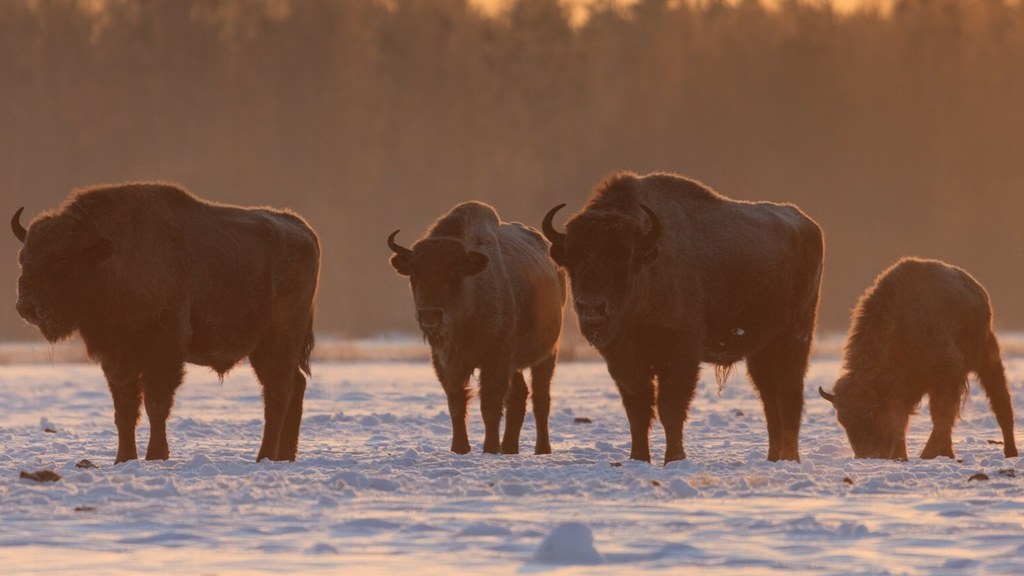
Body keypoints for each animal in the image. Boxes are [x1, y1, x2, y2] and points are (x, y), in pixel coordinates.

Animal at [9, 183, 317, 461]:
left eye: (62, 260)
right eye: (24, 258)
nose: (26, 306)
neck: (111, 260)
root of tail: (303, 230)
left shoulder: (163, 353)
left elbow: (156, 405)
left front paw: (156, 455)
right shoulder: (116, 357)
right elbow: (125, 410)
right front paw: (123, 458)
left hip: (277, 341)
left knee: (277, 393)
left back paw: (264, 456)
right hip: (268, 349)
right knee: (294, 386)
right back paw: (285, 456)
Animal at [389, 200, 569, 453]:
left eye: (454, 272)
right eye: (414, 273)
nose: (430, 315)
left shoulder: (495, 359)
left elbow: (490, 406)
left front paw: (490, 448)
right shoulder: (447, 361)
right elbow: (456, 403)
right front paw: (460, 448)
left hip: (547, 354)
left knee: (540, 399)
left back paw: (541, 448)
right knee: (519, 396)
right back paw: (510, 448)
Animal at [544, 170, 823, 461]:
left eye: (622, 256)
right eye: (573, 258)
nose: (591, 306)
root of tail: (808, 225)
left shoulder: (680, 353)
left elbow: (670, 407)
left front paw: (674, 458)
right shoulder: (624, 359)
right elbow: (637, 410)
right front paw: (639, 458)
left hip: (794, 339)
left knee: (790, 394)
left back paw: (790, 458)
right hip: (761, 350)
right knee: (770, 398)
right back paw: (773, 457)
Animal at [815, 258, 1015, 459]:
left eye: (871, 414)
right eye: (843, 420)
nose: (867, 454)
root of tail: (978, 291)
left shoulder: (947, 374)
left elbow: (941, 413)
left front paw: (932, 453)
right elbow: (904, 419)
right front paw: (901, 455)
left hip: (987, 359)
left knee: (1001, 402)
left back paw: (1010, 451)